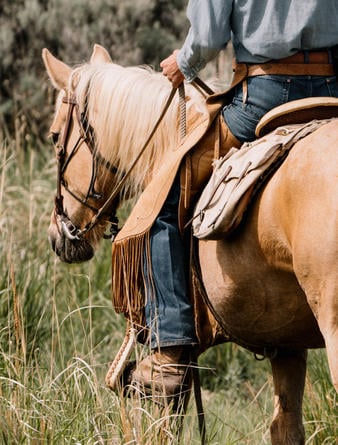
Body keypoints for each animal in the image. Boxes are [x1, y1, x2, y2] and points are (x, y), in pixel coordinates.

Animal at [43, 42, 338, 444]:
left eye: (55, 136)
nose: (58, 235)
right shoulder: (287, 344)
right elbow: (286, 425)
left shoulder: (177, 351)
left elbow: (165, 416)